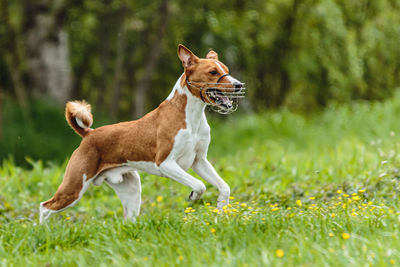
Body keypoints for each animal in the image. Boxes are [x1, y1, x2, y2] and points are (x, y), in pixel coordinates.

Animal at [41, 45, 247, 223]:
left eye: (226, 69)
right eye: (213, 72)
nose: (239, 85)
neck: (192, 118)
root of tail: (88, 134)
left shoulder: (199, 161)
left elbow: (224, 188)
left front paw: (221, 214)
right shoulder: (165, 163)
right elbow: (199, 185)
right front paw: (193, 195)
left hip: (131, 189)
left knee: (128, 219)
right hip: (74, 187)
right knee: (45, 207)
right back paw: (44, 232)